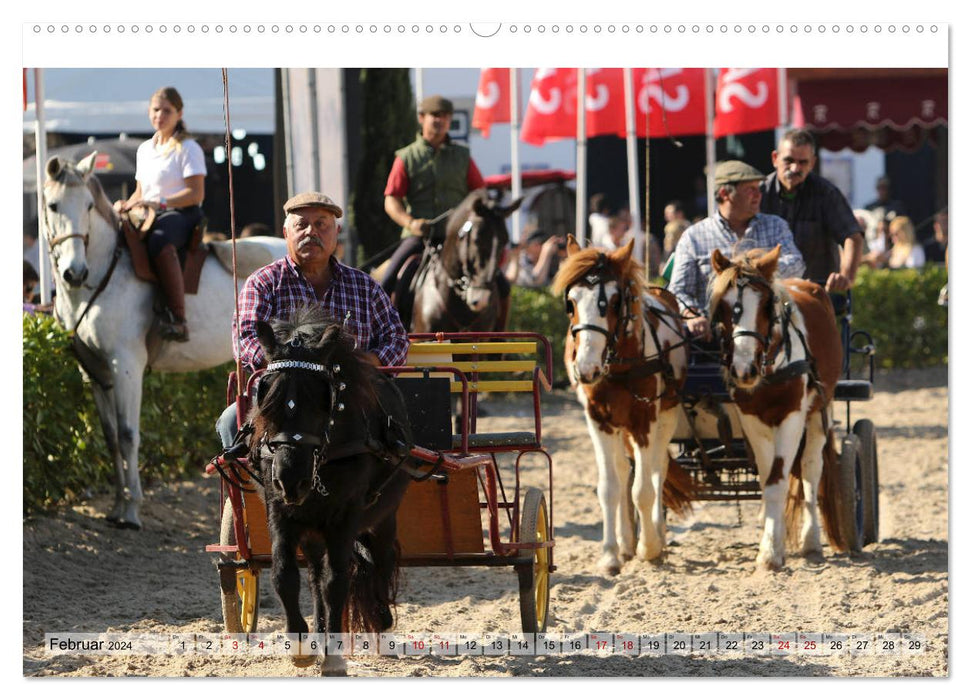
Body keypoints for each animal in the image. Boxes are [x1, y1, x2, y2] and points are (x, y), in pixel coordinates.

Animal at [43, 152, 286, 524]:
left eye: (88, 205)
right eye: (53, 205)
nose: (75, 272)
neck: (103, 274)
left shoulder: (125, 366)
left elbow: (128, 435)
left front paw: (131, 510)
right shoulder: (95, 371)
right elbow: (111, 437)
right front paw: (117, 505)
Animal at [249, 304, 412, 672]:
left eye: (321, 400)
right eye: (267, 399)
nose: (291, 479)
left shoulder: (345, 516)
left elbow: (337, 581)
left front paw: (335, 658)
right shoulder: (280, 511)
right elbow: (285, 575)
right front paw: (300, 645)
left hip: (384, 516)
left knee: (380, 562)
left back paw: (382, 623)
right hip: (311, 529)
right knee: (314, 577)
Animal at [552, 235, 696, 576]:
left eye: (616, 302)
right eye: (571, 303)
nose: (585, 368)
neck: (619, 367)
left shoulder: (646, 420)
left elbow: (643, 488)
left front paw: (650, 547)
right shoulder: (599, 421)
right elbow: (610, 487)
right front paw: (610, 555)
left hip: (666, 416)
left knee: (658, 468)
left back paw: (654, 535)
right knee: (623, 470)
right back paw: (627, 541)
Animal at [708, 246, 852, 568]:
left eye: (765, 305)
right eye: (722, 307)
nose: (743, 370)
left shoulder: (792, 417)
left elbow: (779, 480)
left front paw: (770, 555)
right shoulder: (752, 420)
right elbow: (768, 480)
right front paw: (772, 542)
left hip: (820, 411)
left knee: (811, 469)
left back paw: (811, 541)